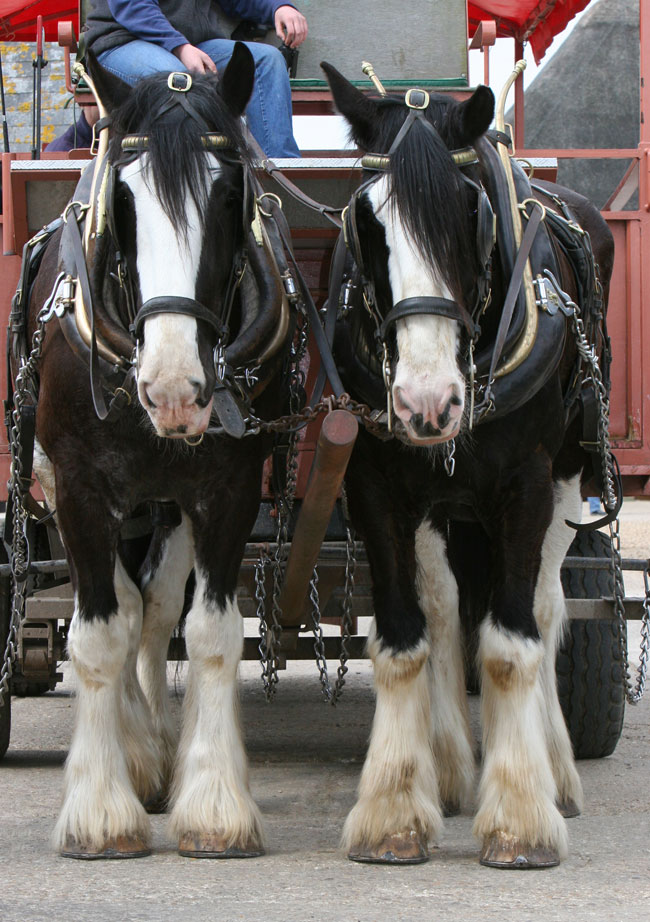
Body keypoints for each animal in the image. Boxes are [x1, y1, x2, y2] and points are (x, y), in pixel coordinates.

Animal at [18, 44, 294, 858]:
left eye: (232, 194)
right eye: (124, 203)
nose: (174, 388)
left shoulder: (229, 485)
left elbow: (207, 632)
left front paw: (214, 804)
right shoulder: (76, 486)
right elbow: (98, 634)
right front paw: (101, 810)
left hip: (167, 501)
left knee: (154, 605)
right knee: (121, 603)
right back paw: (135, 755)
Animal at [321, 63, 615, 868]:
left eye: (469, 213)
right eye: (366, 222)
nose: (428, 402)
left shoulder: (527, 486)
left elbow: (514, 645)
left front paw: (519, 817)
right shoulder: (378, 486)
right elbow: (405, 638)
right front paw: (394, 810)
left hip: (567, 482)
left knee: (545, 607)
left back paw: (556, 771)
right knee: (449, 609)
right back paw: (449, 767)